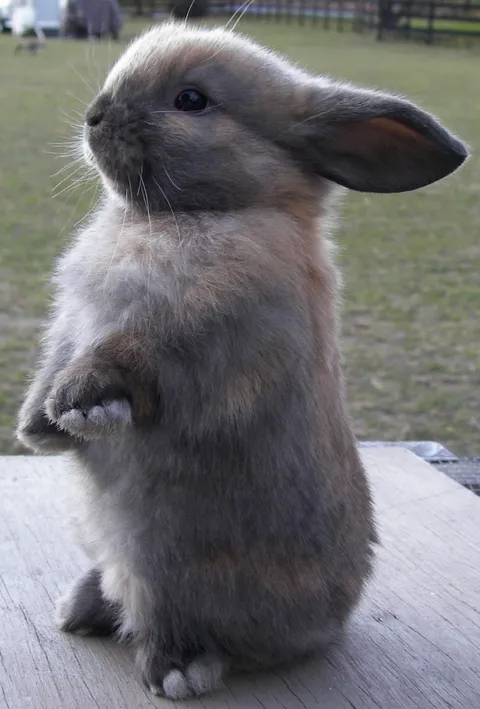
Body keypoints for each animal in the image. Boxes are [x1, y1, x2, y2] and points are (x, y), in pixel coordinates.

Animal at [16, 21, 468, 700]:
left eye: (192, 100)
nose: (95, 116)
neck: (217, 210)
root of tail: (326, 624)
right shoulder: (70, 327)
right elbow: (56, 362)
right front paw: (38, 425)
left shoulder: (200, 339)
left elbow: (131, 359)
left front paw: (83, 405)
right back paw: (80, 609)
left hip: (176, 577)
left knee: (188, 629)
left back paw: (176, 668)